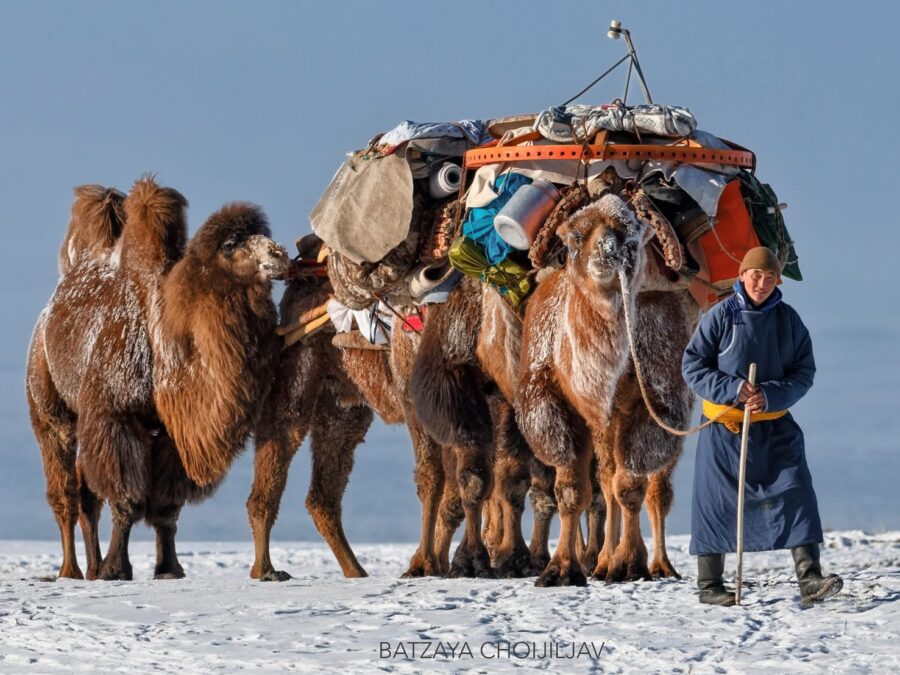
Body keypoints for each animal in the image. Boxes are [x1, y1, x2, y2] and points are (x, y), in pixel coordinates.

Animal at [27, 177, 288, 580]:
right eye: (232, 245)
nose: (280, 255)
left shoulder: (172, 431)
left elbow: (166, 506)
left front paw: (169, 569)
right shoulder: (116, 416)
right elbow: (126, 499)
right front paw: (117, 569)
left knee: (87, 496)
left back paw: (91, 567)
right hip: (47, 401)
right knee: (66, 490)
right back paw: (71, 570)